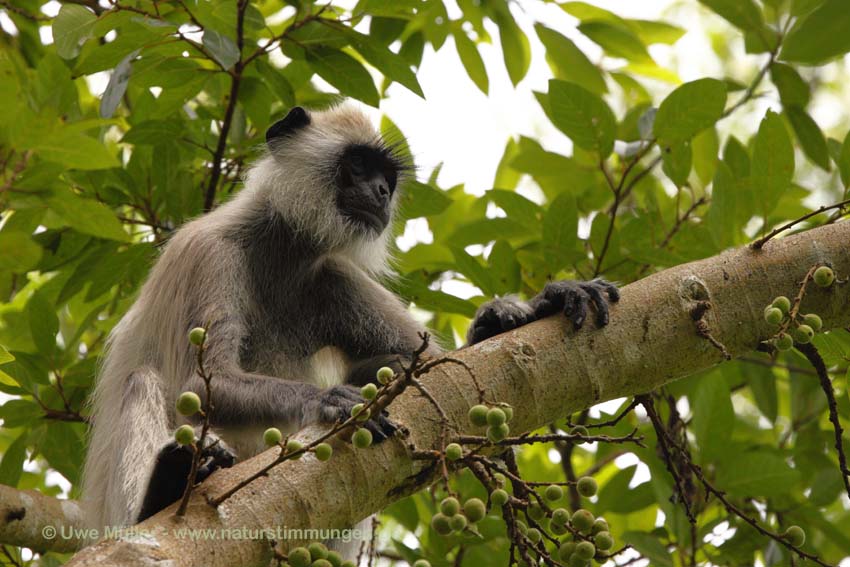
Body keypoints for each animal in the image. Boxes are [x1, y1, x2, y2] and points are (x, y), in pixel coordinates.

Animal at [81, 104, 616, 536]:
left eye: (387, 179)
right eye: (358, 166)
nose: (380, 192)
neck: (282, 249)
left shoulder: (331, 274)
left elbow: (437, 366)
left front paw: (522, 311)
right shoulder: (210, 253)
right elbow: (203, 380)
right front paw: (328, 400)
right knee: (143, 381)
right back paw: (165, 489)